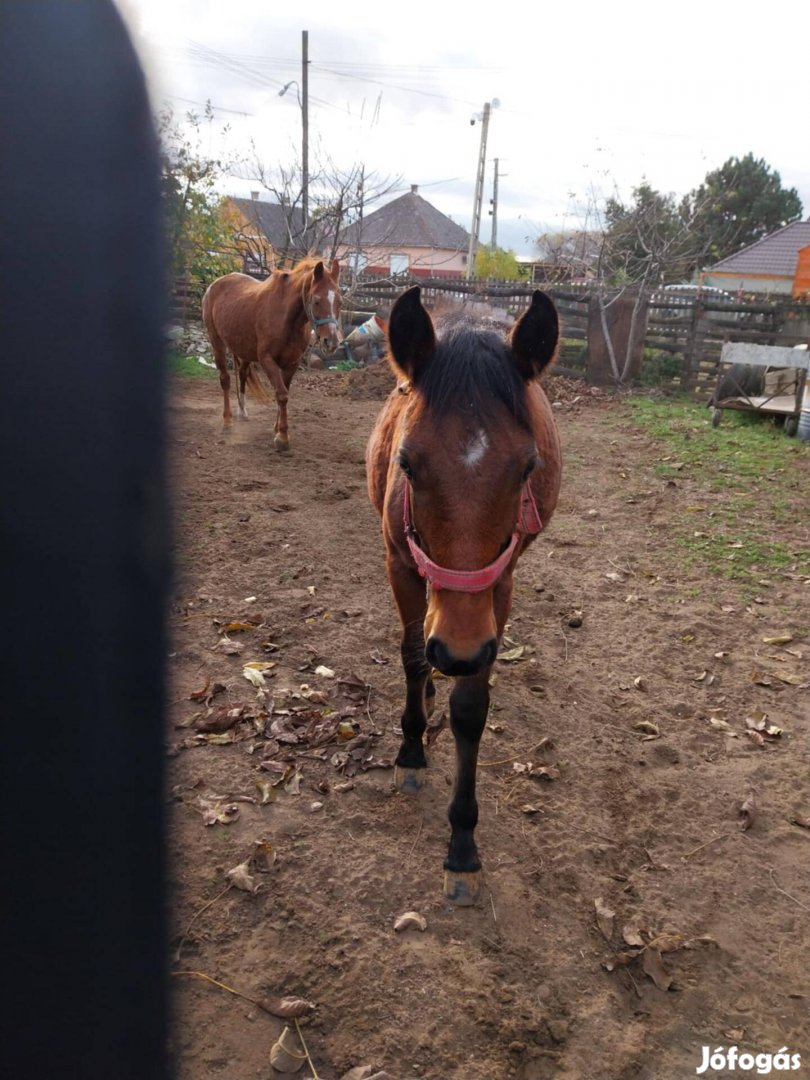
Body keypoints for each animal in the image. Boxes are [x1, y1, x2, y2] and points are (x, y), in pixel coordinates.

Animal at [206, 258, 343, 451]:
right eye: (316, 301)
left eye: (340, 302)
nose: (331, 342)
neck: (286, 318)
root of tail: (215, 284)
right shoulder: (267, 360)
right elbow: (282, 394)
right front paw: (282, 437)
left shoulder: (291, 363)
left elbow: (284, 393)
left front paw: (277, 428)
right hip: (217, 342)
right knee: (225, 380)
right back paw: (228, 420)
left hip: (243, 349)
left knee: (242, 374)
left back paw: (242, 411)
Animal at [369, 287, 565, 902]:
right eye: (407, 463)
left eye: (527, 466)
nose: (456, 650)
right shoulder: (401, 565)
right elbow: (412, 657)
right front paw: (410, 752)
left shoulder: (499, 586)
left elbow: (471, 709)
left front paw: (462, 846)